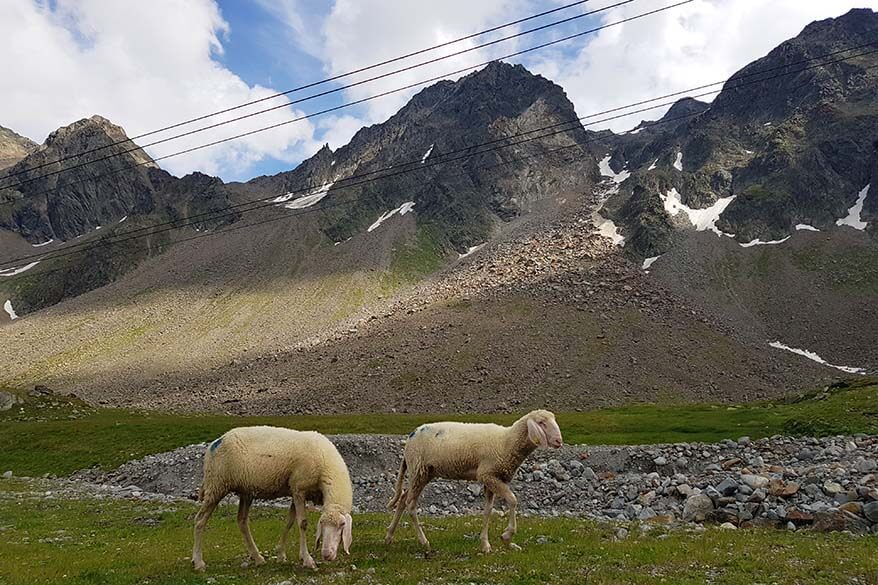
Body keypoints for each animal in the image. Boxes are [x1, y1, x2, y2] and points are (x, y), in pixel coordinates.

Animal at [192, 424, 354, 572]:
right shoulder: (299, 489)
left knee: (242, 521)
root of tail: (216, 441)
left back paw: (257, 558)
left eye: (342, 525)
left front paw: (282, 554)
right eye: (321, 523)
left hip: (245, 490)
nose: (326, 555)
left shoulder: (295, 491)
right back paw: (198, 562)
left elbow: (289, 521)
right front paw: (308, 560)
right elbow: (302, 523)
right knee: (200, 520)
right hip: (217, 485)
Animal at [384, 406, 564, 552]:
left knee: (402, 499)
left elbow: (488, 510)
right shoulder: (487, 474)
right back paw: (423, 541)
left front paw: (485, 544)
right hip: (418, 470)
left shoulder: (493, 478)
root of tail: (410, 437)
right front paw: (507, 535)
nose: (559, 441)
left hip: (422, 473)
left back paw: (389, 536)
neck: (507, 442)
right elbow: (512, 500)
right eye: (541, 422)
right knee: (410, 505)